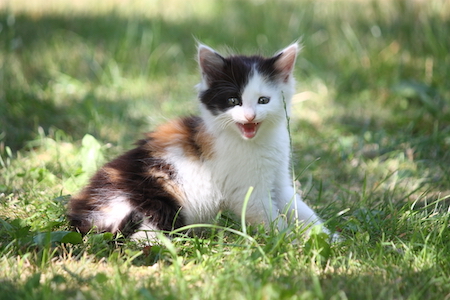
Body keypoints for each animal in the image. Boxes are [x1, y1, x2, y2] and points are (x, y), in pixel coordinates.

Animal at [68, 43, 332, 243]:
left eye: (263, 100)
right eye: (233, 101)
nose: (249, 117)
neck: (256, 142)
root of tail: (83, 216)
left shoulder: (278, 178)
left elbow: (300, 209)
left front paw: (326, 238)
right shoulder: (247, 192)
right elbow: (268, 217)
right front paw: (289, 242)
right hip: (155, 202)